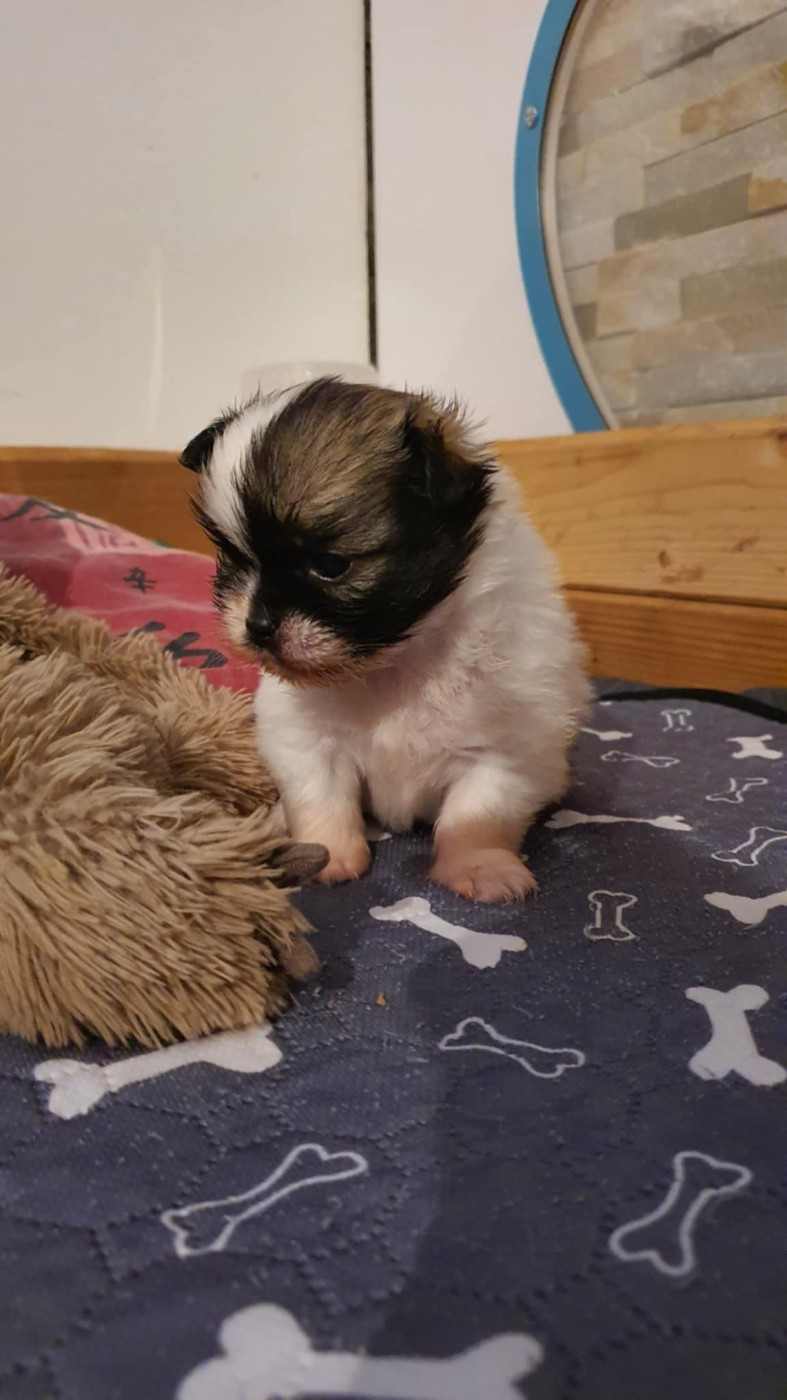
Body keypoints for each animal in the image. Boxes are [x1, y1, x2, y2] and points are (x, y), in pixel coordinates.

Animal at [182, 378, 589, 902]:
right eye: (232, 557)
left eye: (330, 565)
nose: (258, 626)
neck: (395, 664)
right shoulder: (305, 740)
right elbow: (320, 798)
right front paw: (326, 854)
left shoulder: (508, 750)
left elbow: (477, 816)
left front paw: (479, 867)